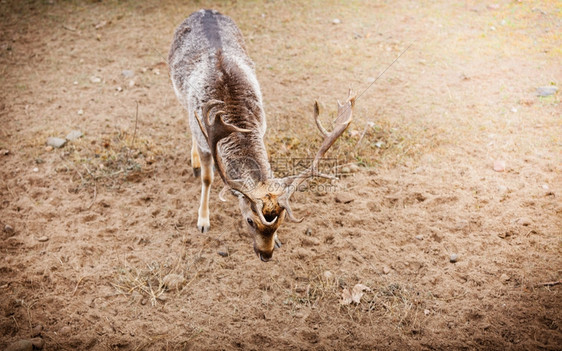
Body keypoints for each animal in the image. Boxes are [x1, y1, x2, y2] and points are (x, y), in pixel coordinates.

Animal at [166, 8, 352, 262]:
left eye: (281, 221)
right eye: (249, 221)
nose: (266, 254)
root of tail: (205, 9)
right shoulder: (205, 141)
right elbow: (207, 178)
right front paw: (203, 221)